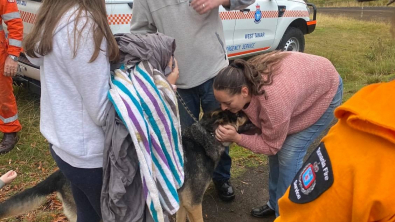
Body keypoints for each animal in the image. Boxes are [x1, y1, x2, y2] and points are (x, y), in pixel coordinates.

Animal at [0, 109, 249, 222]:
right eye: (237, 115)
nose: (246, 109)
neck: (204, 137)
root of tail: (60, 174)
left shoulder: (183, 203)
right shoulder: (194, 203)